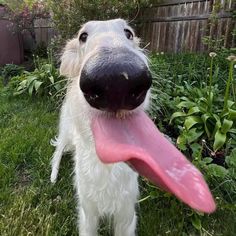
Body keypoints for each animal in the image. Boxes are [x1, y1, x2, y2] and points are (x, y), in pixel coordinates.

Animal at [50, 18, 216, 236]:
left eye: (128, 33)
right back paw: (53, 176)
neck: (107, 165)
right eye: (83, 36)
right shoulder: (88, 215)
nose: (116, 80)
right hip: (68, 132)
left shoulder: (126, 216)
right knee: (58, 149)